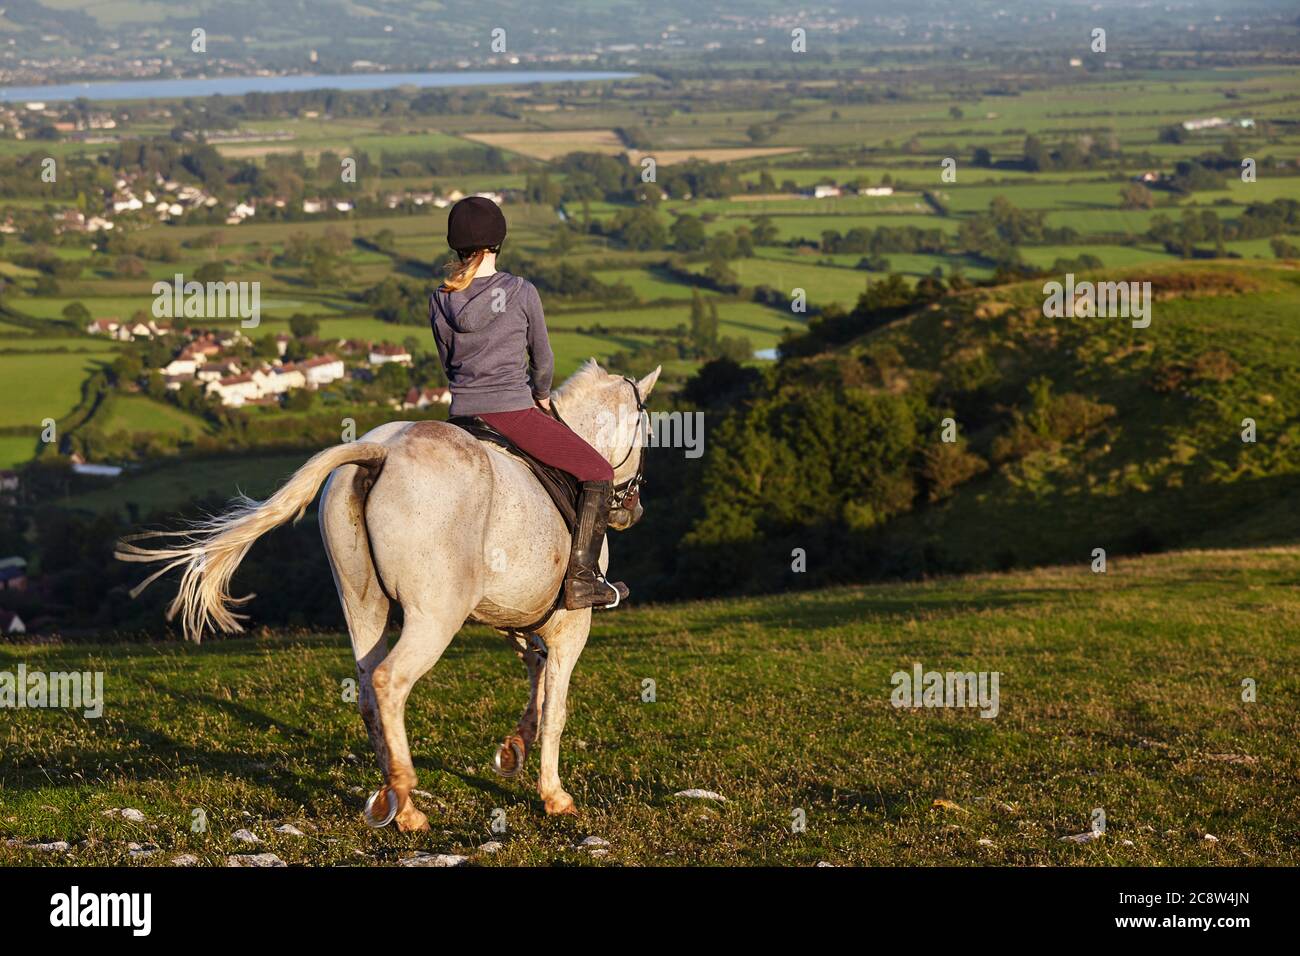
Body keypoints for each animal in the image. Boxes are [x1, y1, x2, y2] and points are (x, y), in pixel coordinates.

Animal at [120, 358, 660, 832]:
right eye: (648, 433)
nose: (631, 510)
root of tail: (380, 453)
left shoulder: (517, 616)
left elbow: (536, 673)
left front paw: (513, 749)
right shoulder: (571, 624)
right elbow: (555, 706)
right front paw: (554, 796)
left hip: (363, 605)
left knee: (365, 690)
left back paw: (403, 805)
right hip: (434, 617)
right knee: (389, 682)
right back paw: (402, 798)